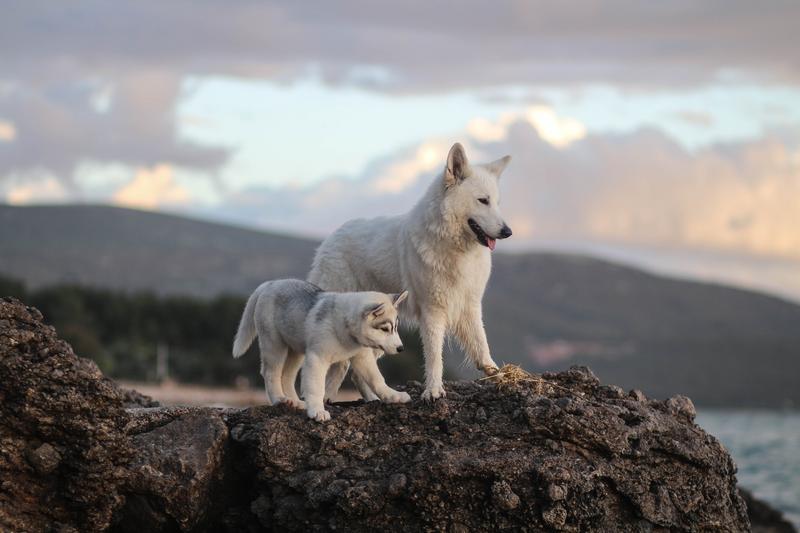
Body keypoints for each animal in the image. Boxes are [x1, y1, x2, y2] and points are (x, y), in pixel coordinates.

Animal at [230, 278, 406, 420]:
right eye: (385, 329)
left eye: (396, 328)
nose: (401, 348)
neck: (345, 326)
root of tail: (270, 283)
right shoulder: (317, 358)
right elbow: (316, 387)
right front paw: (317, 411)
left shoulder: (363, 357)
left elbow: (377, 379)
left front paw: (393, 395)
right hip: (274, 345)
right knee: (270, 373)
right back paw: (279, 399)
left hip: (296, 351)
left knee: (287, 376)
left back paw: (296, 402)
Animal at [310, 143, 516, 402]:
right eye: (483, 200)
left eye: (497, 202)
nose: (508, 232)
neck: (454, 247)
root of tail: (330, 238)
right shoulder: (432, 312)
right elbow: (434, 356)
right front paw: (434, 390)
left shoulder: (469, 306)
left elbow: (481, 345)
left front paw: (500, 376)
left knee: (356, 371)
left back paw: (373, 399)